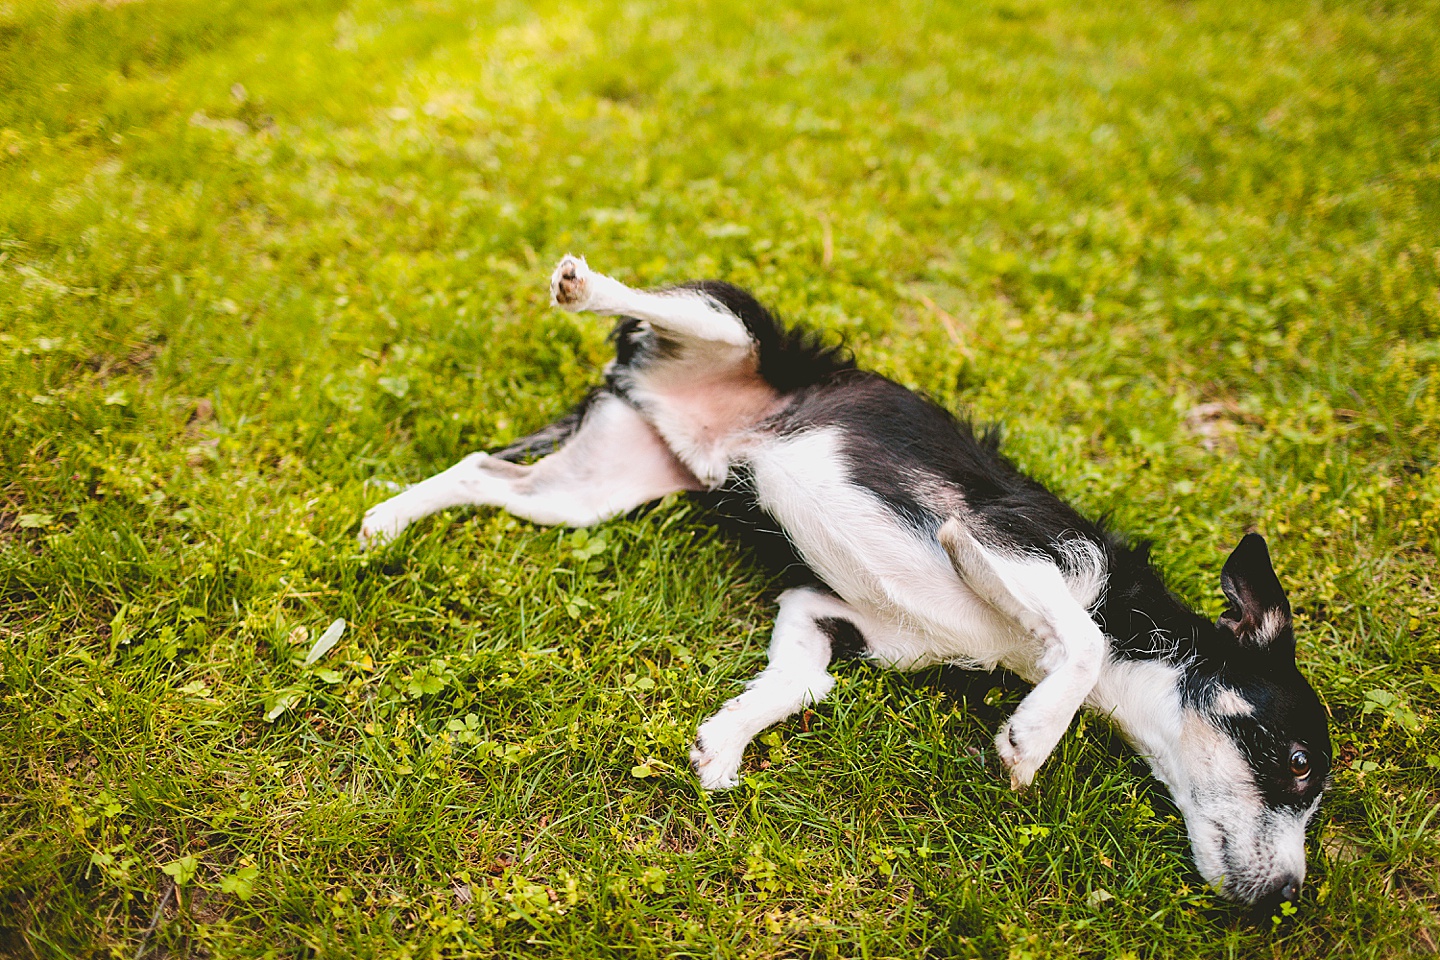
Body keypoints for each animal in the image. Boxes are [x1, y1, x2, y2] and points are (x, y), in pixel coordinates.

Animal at [365, 257, 1330, 909]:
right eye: (1295, 764)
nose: (1285, 898)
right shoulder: (994, 537)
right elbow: (1082, 641)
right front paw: (1030, 741)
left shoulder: (832, 615)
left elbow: (794, 686)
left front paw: (723, 747)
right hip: (729, 326)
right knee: (652, 302)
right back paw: (582, 284)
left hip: (593, 492)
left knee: (483, 470)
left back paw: (384, 522)